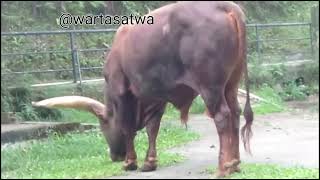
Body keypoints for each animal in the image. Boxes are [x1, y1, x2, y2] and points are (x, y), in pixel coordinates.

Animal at [32, 1, 254, 177]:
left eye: (103, 126)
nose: (114, 156)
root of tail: (223, 5)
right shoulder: (156, 96)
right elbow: (152, 128)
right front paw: (149, 162)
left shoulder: (122, 92)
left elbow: (127, 127)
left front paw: (130, 162)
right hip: (230, 84)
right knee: (235, 113)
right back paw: (235, 164)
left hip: (210, 87)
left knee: (223, 116)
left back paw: (224, 167)